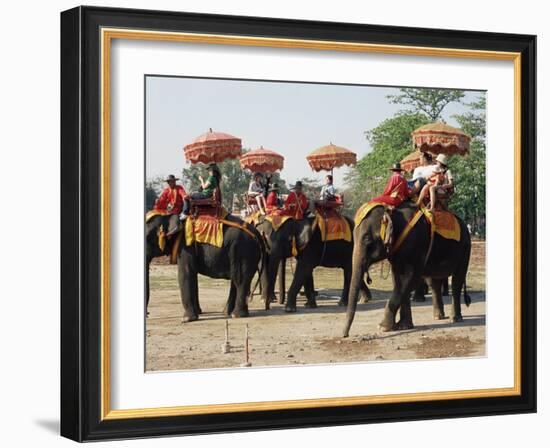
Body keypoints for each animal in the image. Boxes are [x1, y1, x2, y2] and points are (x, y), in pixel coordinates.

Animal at [342, 201, 472, 338]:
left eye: (367, 239)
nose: (345, 335)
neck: (392, 213)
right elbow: (398, 280)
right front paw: (404, 326)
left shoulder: (415, 245)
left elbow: (409, 279)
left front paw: (383, 327)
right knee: (434, 282)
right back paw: (438, 317)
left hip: (465, 249)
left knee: (457, 280)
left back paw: (455, 319)